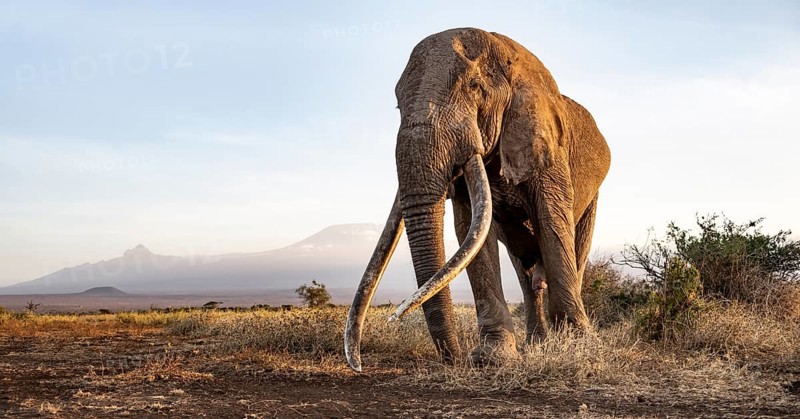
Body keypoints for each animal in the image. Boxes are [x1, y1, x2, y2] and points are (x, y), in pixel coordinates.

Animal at [345, 28, 611, 371]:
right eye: (397, 106)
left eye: (474, 87)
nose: (455, 360)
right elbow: (470, 230)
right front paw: (492, 358)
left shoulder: (548, 146)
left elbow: (551, 220)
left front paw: (581, 350)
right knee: (524, 268)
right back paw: (536, 344)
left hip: (593, 196)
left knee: (575, 249)